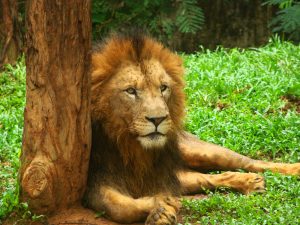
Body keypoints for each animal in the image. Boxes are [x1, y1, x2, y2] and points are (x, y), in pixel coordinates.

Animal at [85, 32, 300, 225]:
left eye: (163, 88)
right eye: (131, 91)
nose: (158, 119)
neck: (132, 146)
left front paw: (163, 205)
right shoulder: (97, 181)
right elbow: (120, 207)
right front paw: (161, 210)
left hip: (201, 151)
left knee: (252, 162)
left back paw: (289, 170)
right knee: (206, 179)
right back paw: (251, 183)